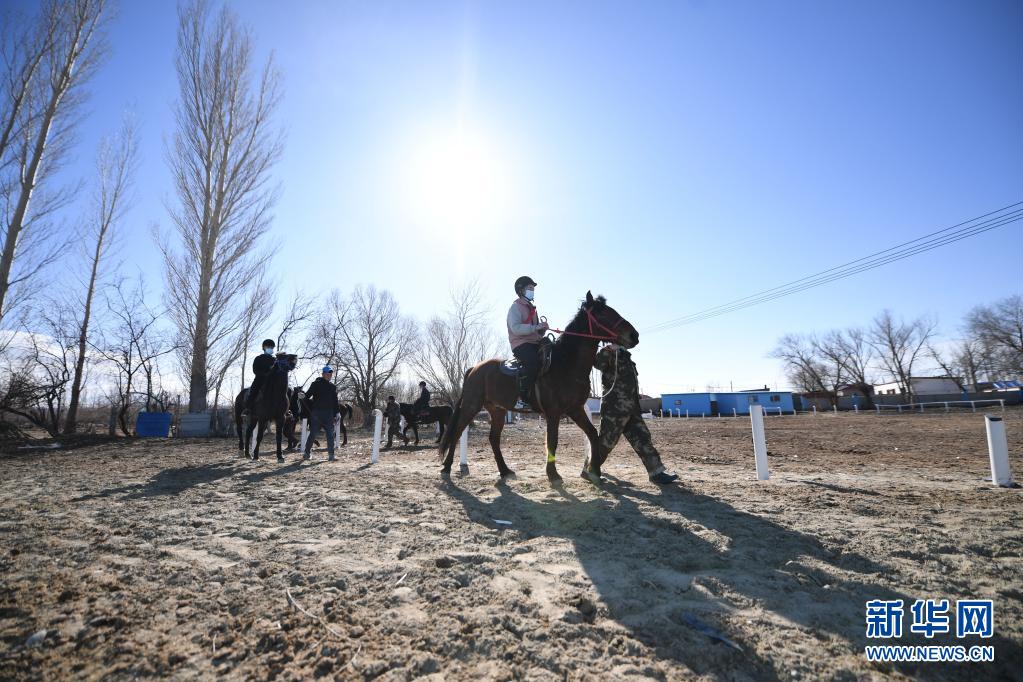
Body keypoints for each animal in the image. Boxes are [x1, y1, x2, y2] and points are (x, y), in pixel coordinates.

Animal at [437, 294, 634, 484]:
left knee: (493, 438)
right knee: (457, 432)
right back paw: (446, 467)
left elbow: (593, 434)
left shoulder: (575, 409)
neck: (566, 364)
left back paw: (505, 471)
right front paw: (553, 474)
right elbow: (552, 441)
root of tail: (474, 368)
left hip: (497, 410)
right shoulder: (553, 412)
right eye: (603, 313)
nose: (634, 335)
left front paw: (594, 471)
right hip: (471, 406)